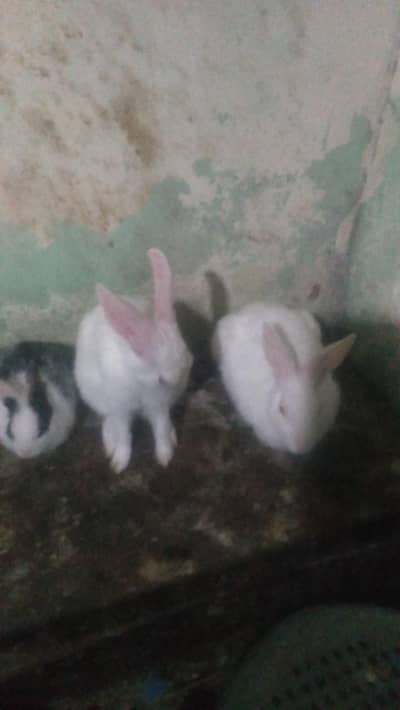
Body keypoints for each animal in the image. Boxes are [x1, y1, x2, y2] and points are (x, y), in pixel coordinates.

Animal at [74, 248, 193, 473]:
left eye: (186, 359)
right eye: (160, 379)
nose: (178, 384)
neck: (138, 379)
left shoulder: (159, 405)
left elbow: (160, 429)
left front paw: (165, 457)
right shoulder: (120, 406)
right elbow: (124, 436)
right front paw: (119, 463)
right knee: (108, 422)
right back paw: (109, 443)